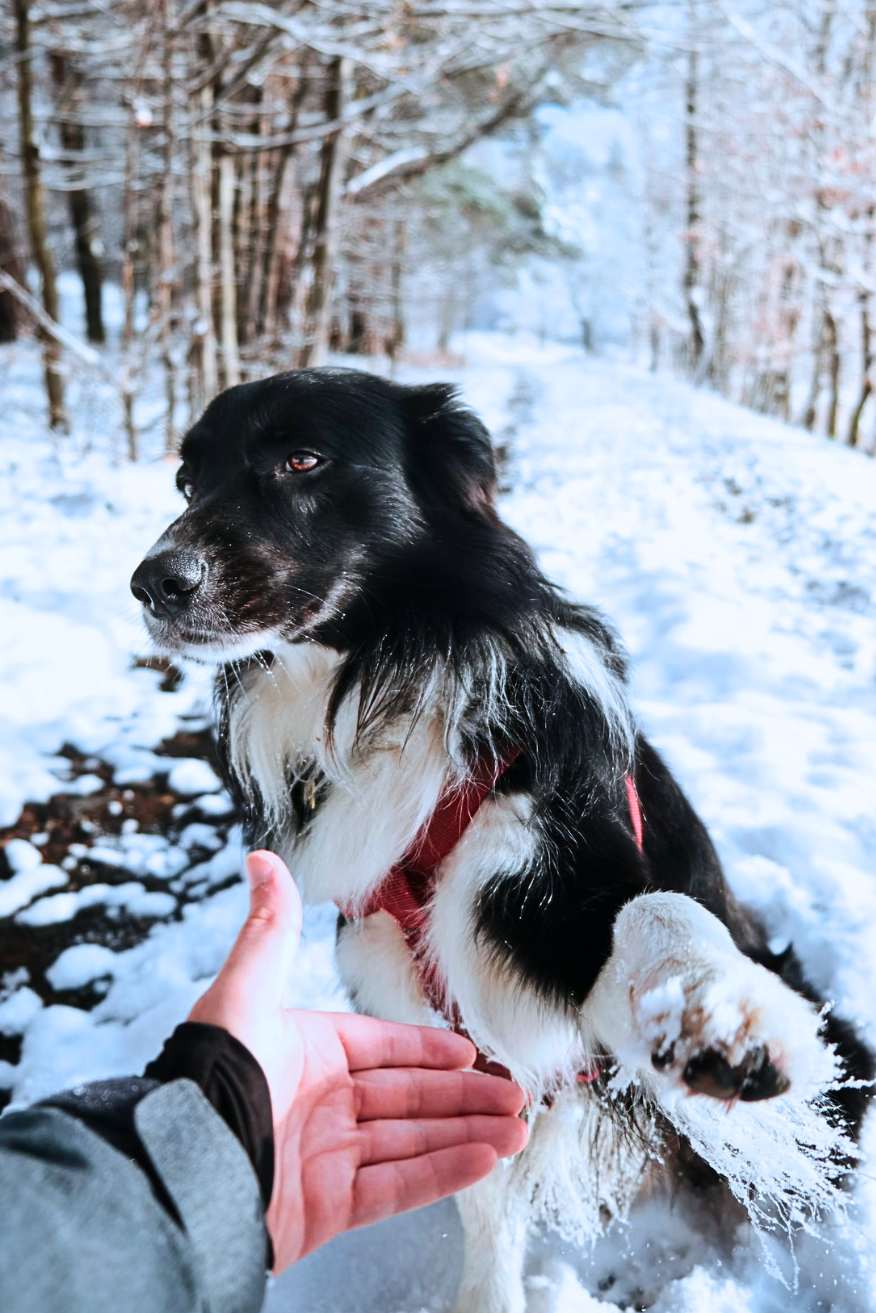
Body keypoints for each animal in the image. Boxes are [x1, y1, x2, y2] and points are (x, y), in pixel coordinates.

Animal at [133, 370, 872, 1313]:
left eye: (301, 459)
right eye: (186, 482)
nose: (151, 583)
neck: (378, 682)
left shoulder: (562, 894)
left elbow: (655, 909)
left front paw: (713, 1005)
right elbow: (486, 1190)